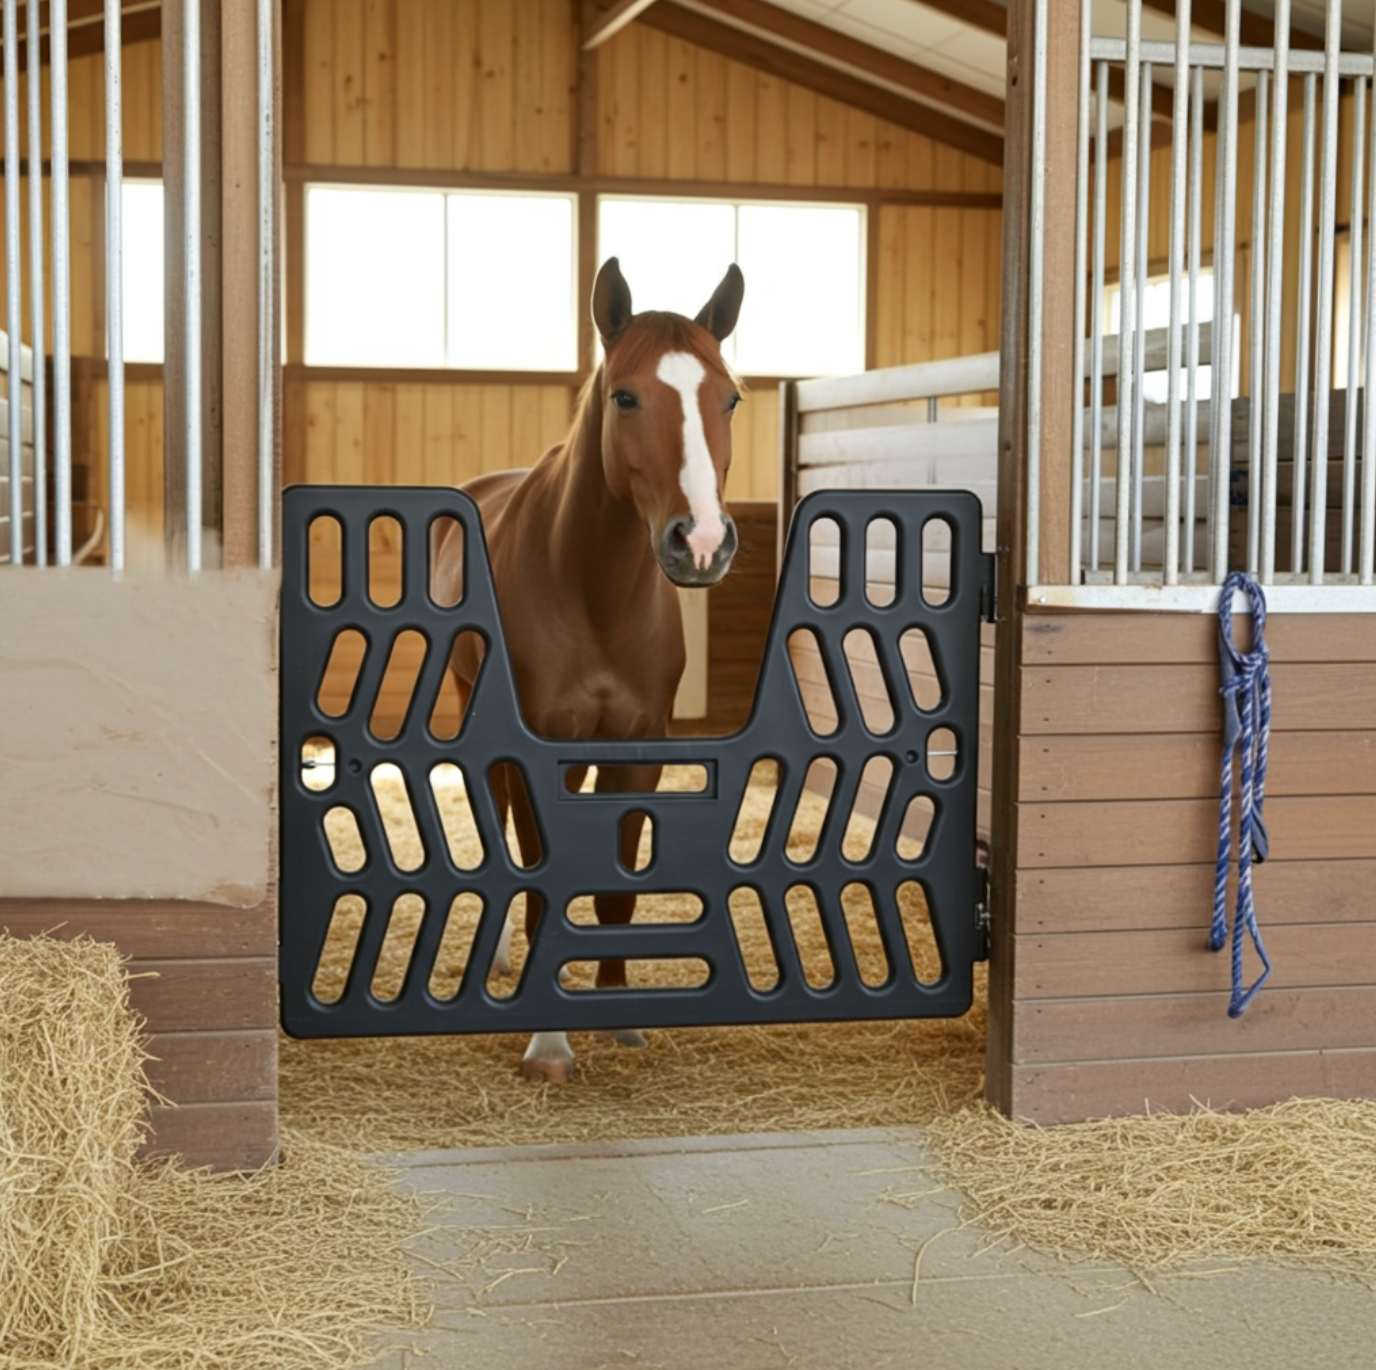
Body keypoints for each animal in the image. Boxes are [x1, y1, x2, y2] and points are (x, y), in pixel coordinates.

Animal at [431, 256, 745, 1082]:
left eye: (729, 397)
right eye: (624, 397)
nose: (702, 542)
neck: (592, 591)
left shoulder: (639, 745)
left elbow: (616, 887)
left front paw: (618, 1011)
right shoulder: (544, 750)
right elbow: (545, 880)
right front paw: (548, 1040)